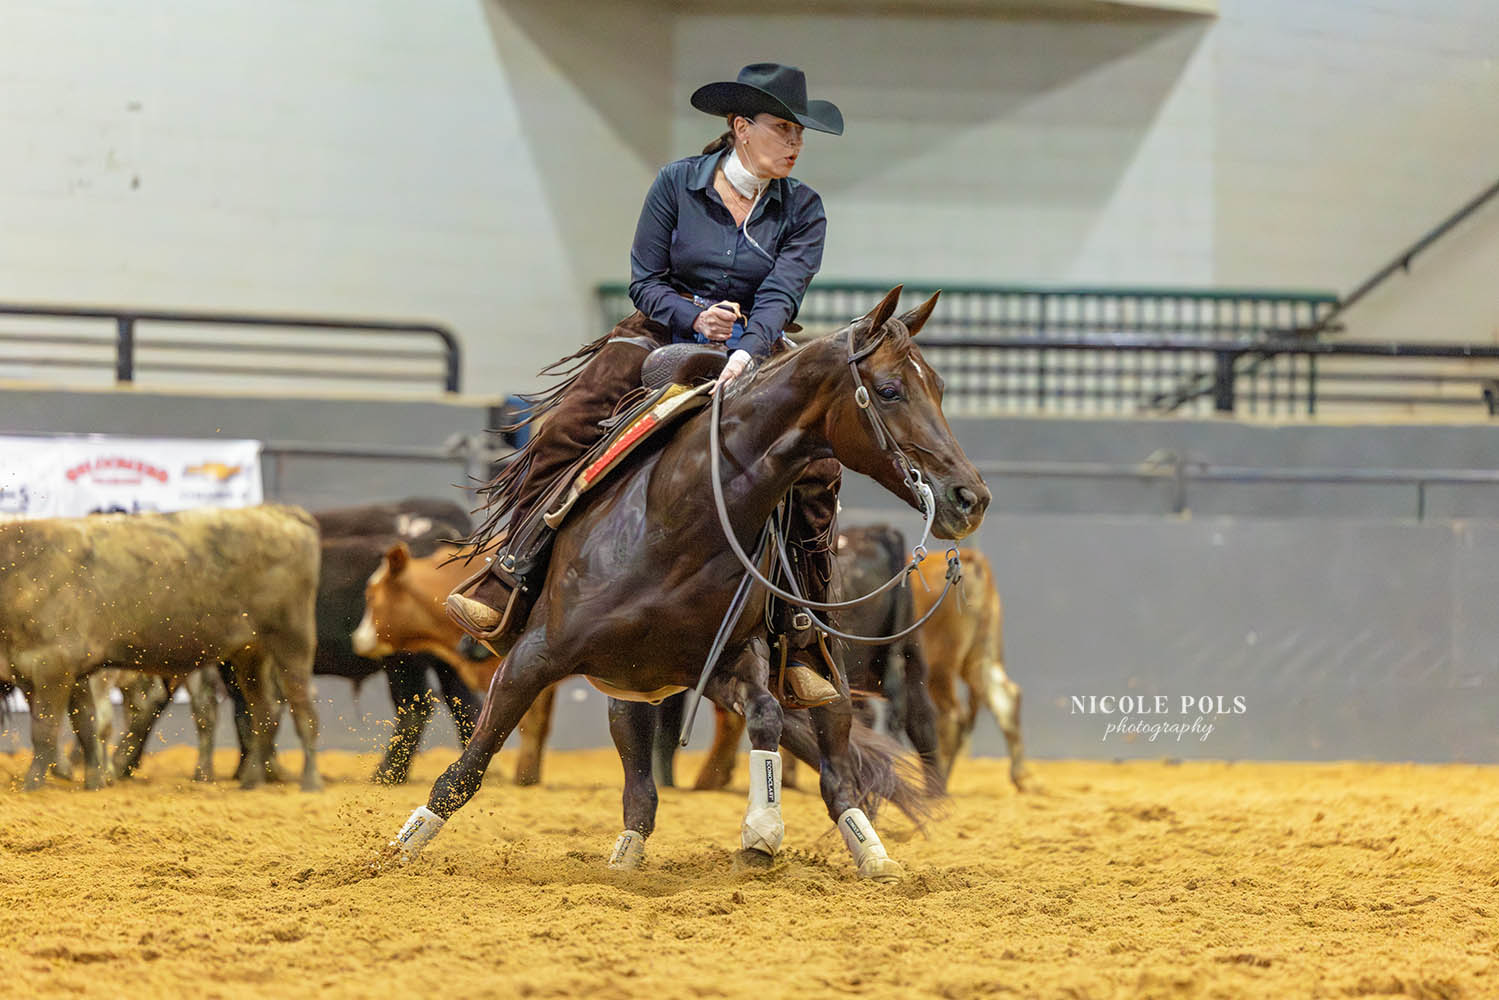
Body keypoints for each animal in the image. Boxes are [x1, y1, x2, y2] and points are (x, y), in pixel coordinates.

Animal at [383, 285, 990, 881]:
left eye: (939, 388)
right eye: (889, 390)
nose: (971, 498)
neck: (677, 518)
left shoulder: (726, 660)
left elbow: (767, 717)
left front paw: (761, 835)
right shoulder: (533, 656)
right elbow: (469, 766)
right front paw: (395, 854)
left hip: (821, 678)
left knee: (838, 767)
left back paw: (871, 852)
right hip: (625, 677)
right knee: (638, 775)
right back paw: (626, 857)